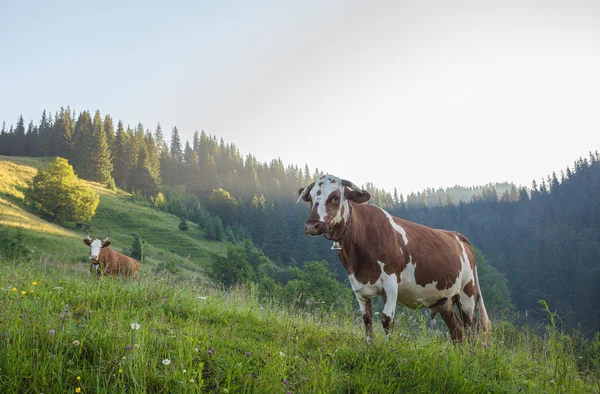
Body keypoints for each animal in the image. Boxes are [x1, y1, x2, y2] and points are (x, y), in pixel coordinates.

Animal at [298, 175, 490, 342]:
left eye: (335, 197)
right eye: (311, 198)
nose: (311, 225)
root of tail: (457, 236)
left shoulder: (390, 283)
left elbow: (386, 319)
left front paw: (388, 349)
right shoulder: (358, 287)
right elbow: (367, 320)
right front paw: (370, 349)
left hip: (467, 292)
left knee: (471, 328)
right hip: (445, 300)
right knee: (456, 330)